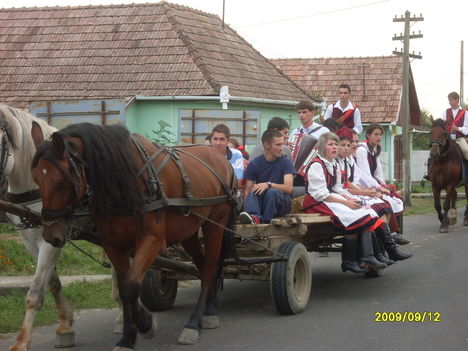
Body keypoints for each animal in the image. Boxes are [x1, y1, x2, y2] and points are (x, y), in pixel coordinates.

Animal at [0, 105, 122, 351]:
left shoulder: (51, 239)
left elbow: (35, 291)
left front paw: (21, 341)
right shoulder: (30, 240)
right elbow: (53, 283)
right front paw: (65, 324)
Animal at [31, 122, 238, 350]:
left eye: (61, 181)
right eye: (36, 179)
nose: (50, 235)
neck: (125, 180)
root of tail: (221, 159)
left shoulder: (152, 241)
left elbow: (131, 287)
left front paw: (146, 325)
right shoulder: (114, 244)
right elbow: (124, 288)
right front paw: (128, 336)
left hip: (215, 226)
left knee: (210, 269)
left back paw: (194, 323)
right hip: (190, 231)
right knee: (203, 266)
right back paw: (210, 309)